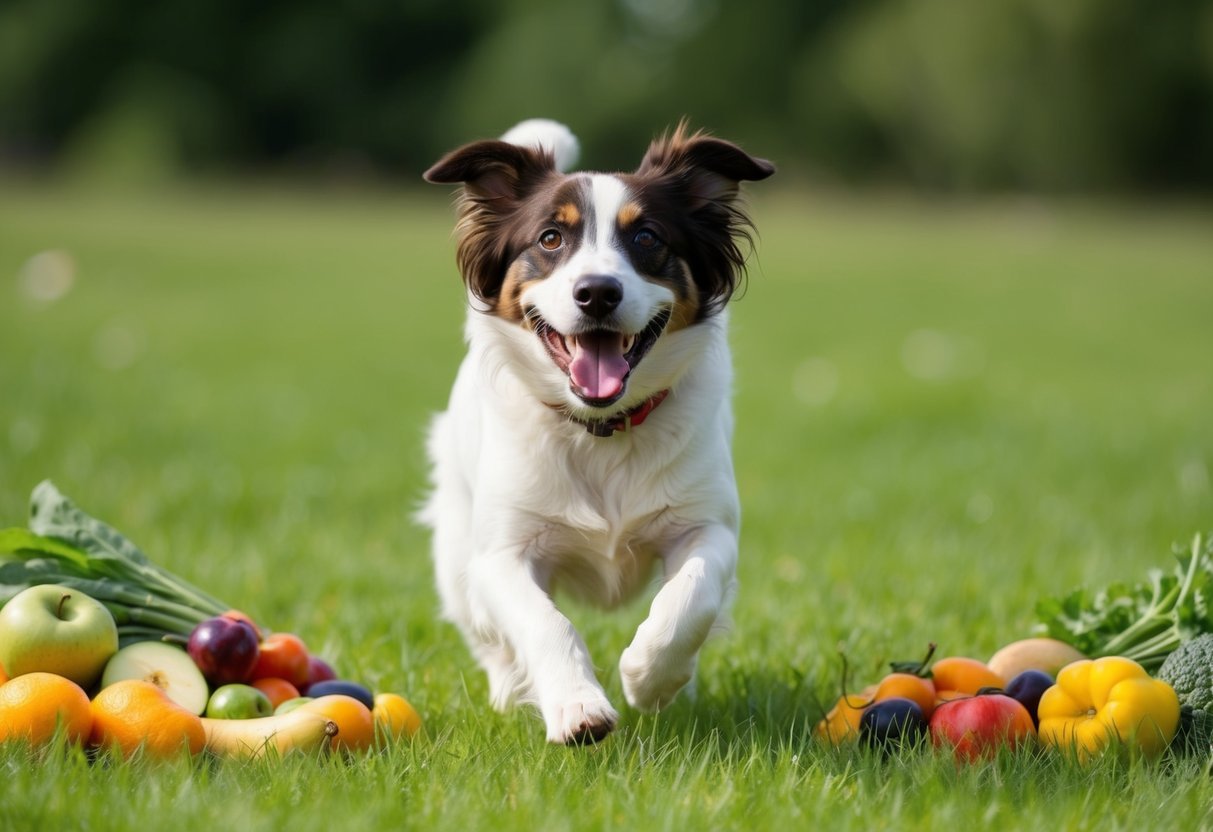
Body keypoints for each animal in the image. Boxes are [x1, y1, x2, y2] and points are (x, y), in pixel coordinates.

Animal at [422, 120, 771, 747]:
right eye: (550, 238)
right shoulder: (501, 552)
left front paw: (649, 676)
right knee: (488, 637)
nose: (598, 292)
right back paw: (510, 694)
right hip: (455, 552)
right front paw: (577, 706)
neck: (600, 430)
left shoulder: (707, 525)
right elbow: (544, 621)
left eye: (649, 237)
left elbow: (692, 596)